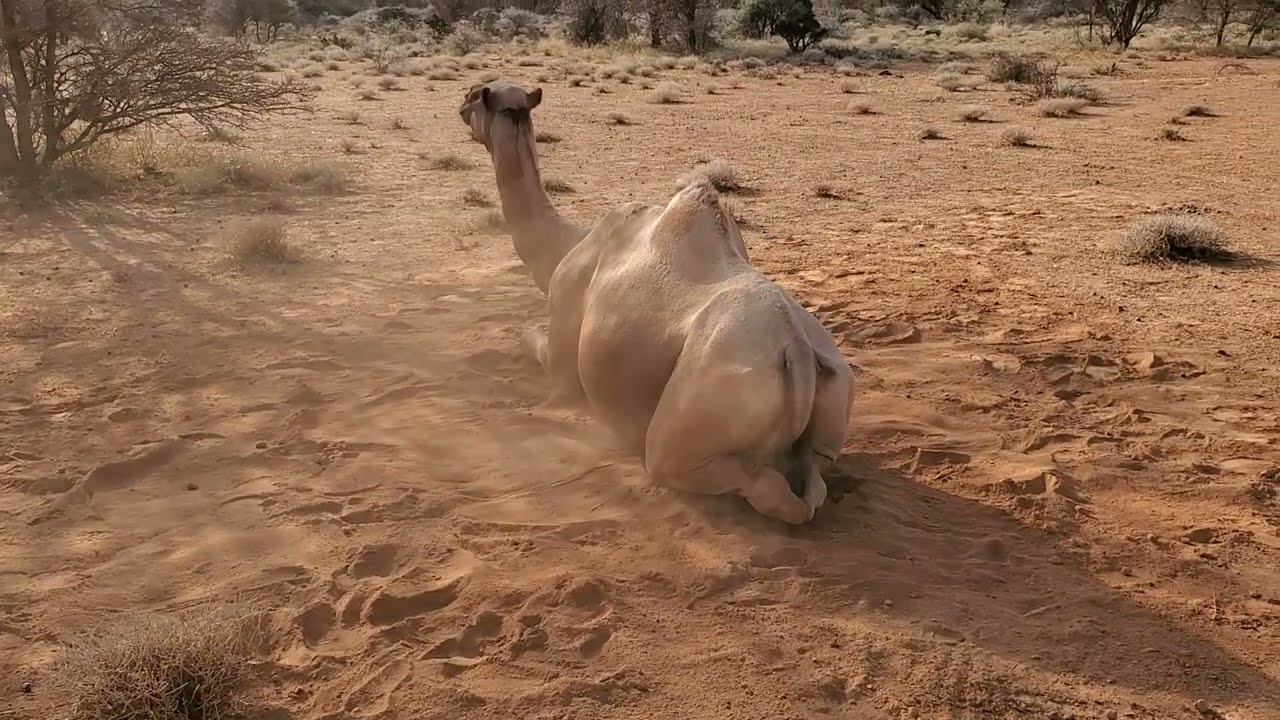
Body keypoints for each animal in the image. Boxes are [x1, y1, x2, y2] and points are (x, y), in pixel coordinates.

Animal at [460, 82, 854, 524]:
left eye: (475, 97)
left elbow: (533, 343)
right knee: (814, 478)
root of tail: (797, 351)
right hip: (832, 400)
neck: (568, 243)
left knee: (748, 483)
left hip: (700, 413)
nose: (460, 108)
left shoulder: (562, 358)